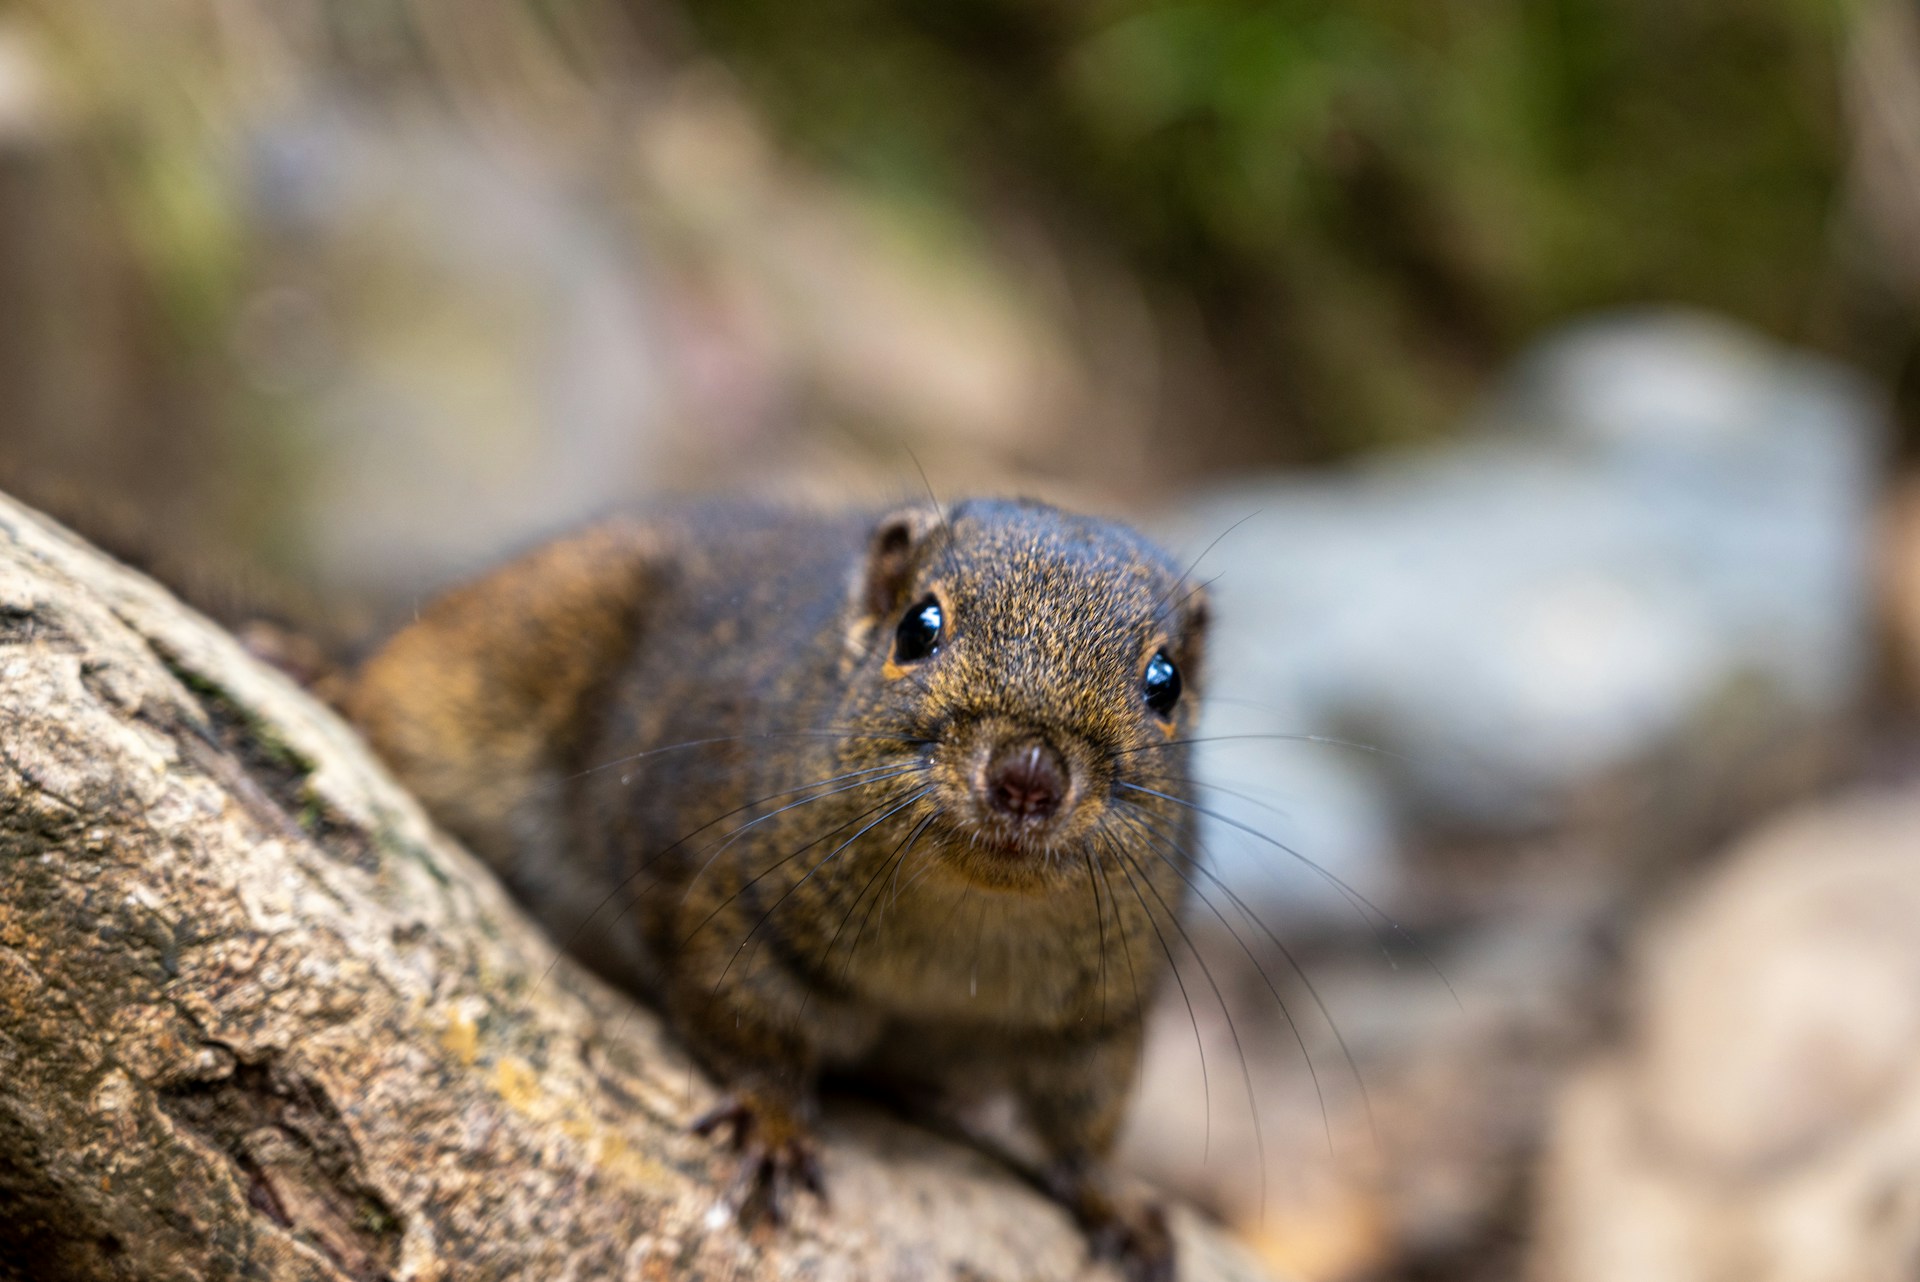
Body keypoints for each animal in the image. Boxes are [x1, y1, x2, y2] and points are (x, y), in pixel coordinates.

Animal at [347, 498, 1211, 1281]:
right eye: (918, 628)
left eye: (1164, 683)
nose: (1028, 777)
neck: (968, 924)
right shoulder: (719, 893)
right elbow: (745, 1020)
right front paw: (770, 1125)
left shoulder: (1100, 1015)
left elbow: (1085, 1122)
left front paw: (1115, 1198)